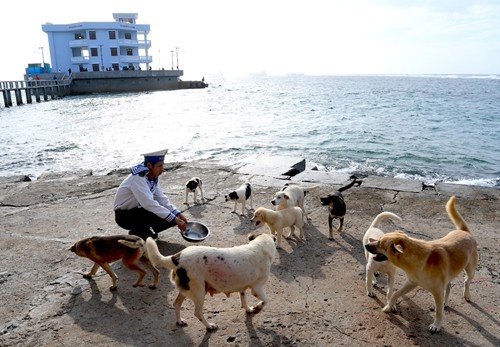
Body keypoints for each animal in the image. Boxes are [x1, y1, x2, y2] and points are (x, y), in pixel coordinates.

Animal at [145, 232, 278, 330]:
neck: (260, 245)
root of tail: (176, 257)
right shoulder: (257, 288)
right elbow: (266, 300)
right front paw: (258, 307)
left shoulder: (243, 287)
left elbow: (243, 300)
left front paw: (248, 309)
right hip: (199, 292)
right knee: (197, 313)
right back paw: (209, 326)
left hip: (185, 290)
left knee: (176, 304)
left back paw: (179, 321)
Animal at [366, 197, 478, 334]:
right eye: (378, 240)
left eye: (380, 244)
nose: (366, 245)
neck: (419, 260)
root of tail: (465, 232)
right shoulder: (412, 283)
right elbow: (395, 294)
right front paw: (388, 307)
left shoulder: (437, 293)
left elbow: (439, 312)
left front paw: (436, 325)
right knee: (449, 286)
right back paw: (446, 302)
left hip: (470, 269)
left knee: (467, 281)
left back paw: (466, 295)